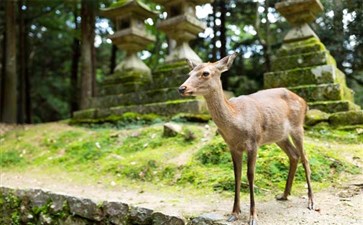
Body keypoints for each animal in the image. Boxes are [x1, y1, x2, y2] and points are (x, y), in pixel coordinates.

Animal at [179, 52, 316, 225]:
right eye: (189, 73)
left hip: (298, 127)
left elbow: (250, 175)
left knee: (305, 158)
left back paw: (311, 202)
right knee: (294, 155)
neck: (236, 120)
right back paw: (284, 195)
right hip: (280, 136)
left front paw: (253, 217)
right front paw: (234, 213)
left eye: (205, 73)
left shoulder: (254, 142)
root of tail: (305, 102)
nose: (181, 88)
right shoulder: (232, 146)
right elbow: (236, 174)